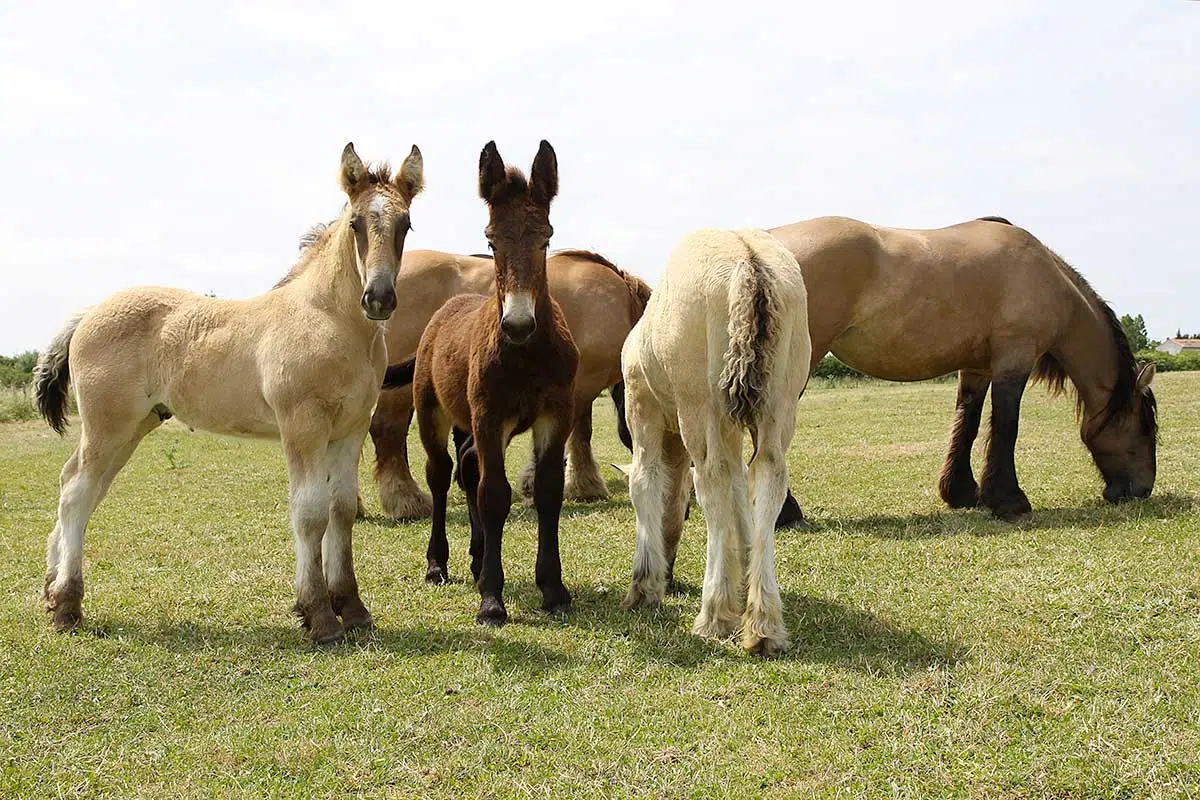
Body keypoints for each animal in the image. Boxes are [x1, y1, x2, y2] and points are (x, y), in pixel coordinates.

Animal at [32, 140, 424, 647]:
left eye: (405, 224)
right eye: (356, 222)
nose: (378, 297)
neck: (329, 321)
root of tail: (88, 314)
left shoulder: (350, 429)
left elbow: (341, 510)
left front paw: (353, 610)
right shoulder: (303, 427)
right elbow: (310, 513)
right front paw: (319, 617)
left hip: (131, 429)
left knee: (78, 487)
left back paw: (52, 590)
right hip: (107, 426)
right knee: (76, 494)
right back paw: (66, 606)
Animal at [352, 245, 648, 520]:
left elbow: (577, 434)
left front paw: (579, 485)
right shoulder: (580, 384)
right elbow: (573, 434)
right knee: (387, 429)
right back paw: (406, 500)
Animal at [412, 140, 576, 628]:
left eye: (546, 238)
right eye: (491, 241)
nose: (518, 324)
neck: (524, 355)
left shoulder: (554, 414)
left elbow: (547, 492)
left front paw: (554, 589)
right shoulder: (489, 416)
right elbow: (494, 495)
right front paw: (491, 600)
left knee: (468, 466)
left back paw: (476, 555)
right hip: (433, 414)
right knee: (442, 474)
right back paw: (439, 564)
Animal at [614, 227, 811, 662]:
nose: (670, 577)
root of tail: (749, 261)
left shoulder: (642, 404)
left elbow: (645, 482)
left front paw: (644, 585)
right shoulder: (733, 424)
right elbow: (740, 485)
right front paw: (744, 562)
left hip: (699, 404)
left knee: (712, 480)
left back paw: (716, 614)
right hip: (779, 402)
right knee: (768, 475)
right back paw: (763, 621)